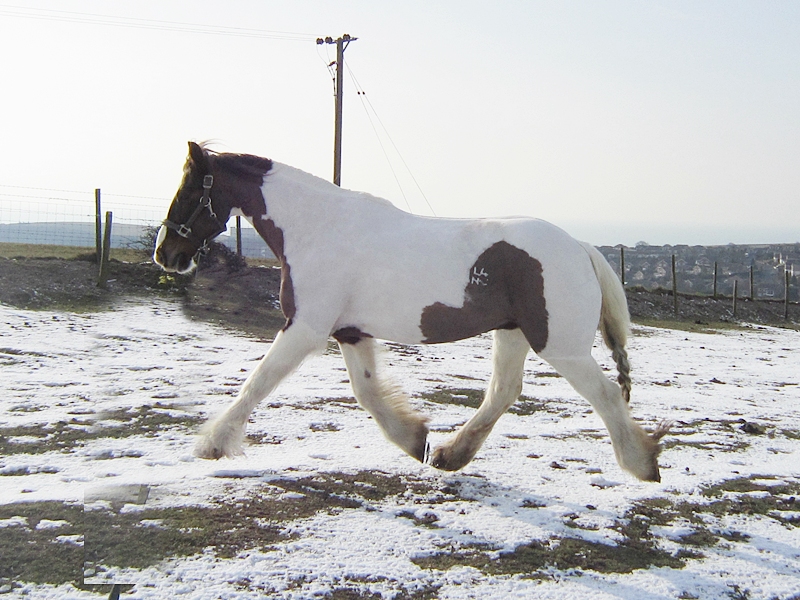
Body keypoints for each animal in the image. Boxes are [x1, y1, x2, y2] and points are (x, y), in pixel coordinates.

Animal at [154, 142, 669, 481]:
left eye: (188, 190)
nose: (166, 255)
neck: (317, 228)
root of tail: (581, 247)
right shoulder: (349, 332)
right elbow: (367, 393)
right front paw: (414, 438)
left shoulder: (304, 328)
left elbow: (257, 383)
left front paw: (213, 444)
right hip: (512, 333)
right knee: (503, 392)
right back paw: (449, 455)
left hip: (561, 346)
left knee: (606, 394)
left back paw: (642, 464)